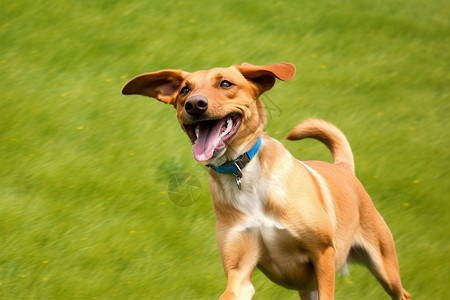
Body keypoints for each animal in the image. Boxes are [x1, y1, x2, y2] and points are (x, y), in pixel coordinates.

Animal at [121, 62, 410, 298]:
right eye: (184, 90)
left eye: (225, 83)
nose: (194, 104)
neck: (242, 174)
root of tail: (343, 168)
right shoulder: (239, 269)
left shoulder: (323, 254)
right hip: (308, 288)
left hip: (384, 265)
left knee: (402, 293)